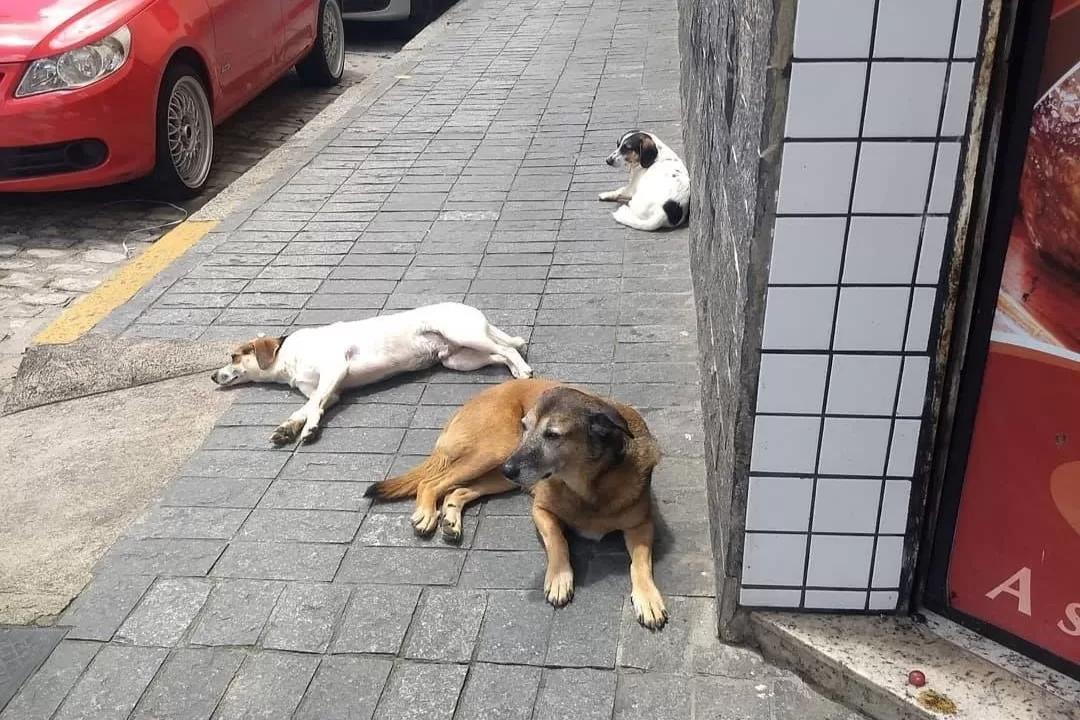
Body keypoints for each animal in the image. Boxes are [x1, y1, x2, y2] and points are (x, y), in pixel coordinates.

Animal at [209, 302, 531, 444]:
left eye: (233, 356)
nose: (212, 377)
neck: (286, 358)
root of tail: (471, 308)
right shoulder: (330, 392)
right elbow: (307, 407)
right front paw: (288, 428)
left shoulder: (334, 369)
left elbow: (312, 408)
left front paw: (308, 428)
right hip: (459, 359)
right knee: (499, 355)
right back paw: (515, 370)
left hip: (463, 334)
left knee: (509, 348)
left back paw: (524, 370)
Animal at [365, 379, 665, 626]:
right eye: (525, 427)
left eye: (552, 435)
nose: (509, 469)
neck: (589, 486)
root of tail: (478, 396)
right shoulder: (541, 510)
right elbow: (558, 540)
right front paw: (559, 578)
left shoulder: (642, 525)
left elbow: (639, 563)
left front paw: (648, 598)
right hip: (497, 453)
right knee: (430, 482)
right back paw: (427, 513)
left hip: (500, 472)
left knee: (457, 490)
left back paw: (450, 519)